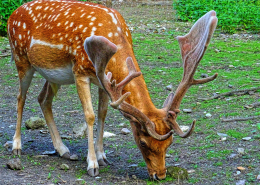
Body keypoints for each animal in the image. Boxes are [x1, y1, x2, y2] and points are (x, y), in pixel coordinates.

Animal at [7, 0, 217, 179]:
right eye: (142, 142)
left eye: (169, 143)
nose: (160, 175)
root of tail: (12, 14)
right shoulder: (80, 71)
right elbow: (90, 115)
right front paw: (92, 164)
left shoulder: (104, 81)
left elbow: (103, 113)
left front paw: (102, 156)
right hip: (21, 58)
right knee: (20, 98)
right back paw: (17, 146)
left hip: (53, 75)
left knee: (43, 99)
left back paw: (63, 149)